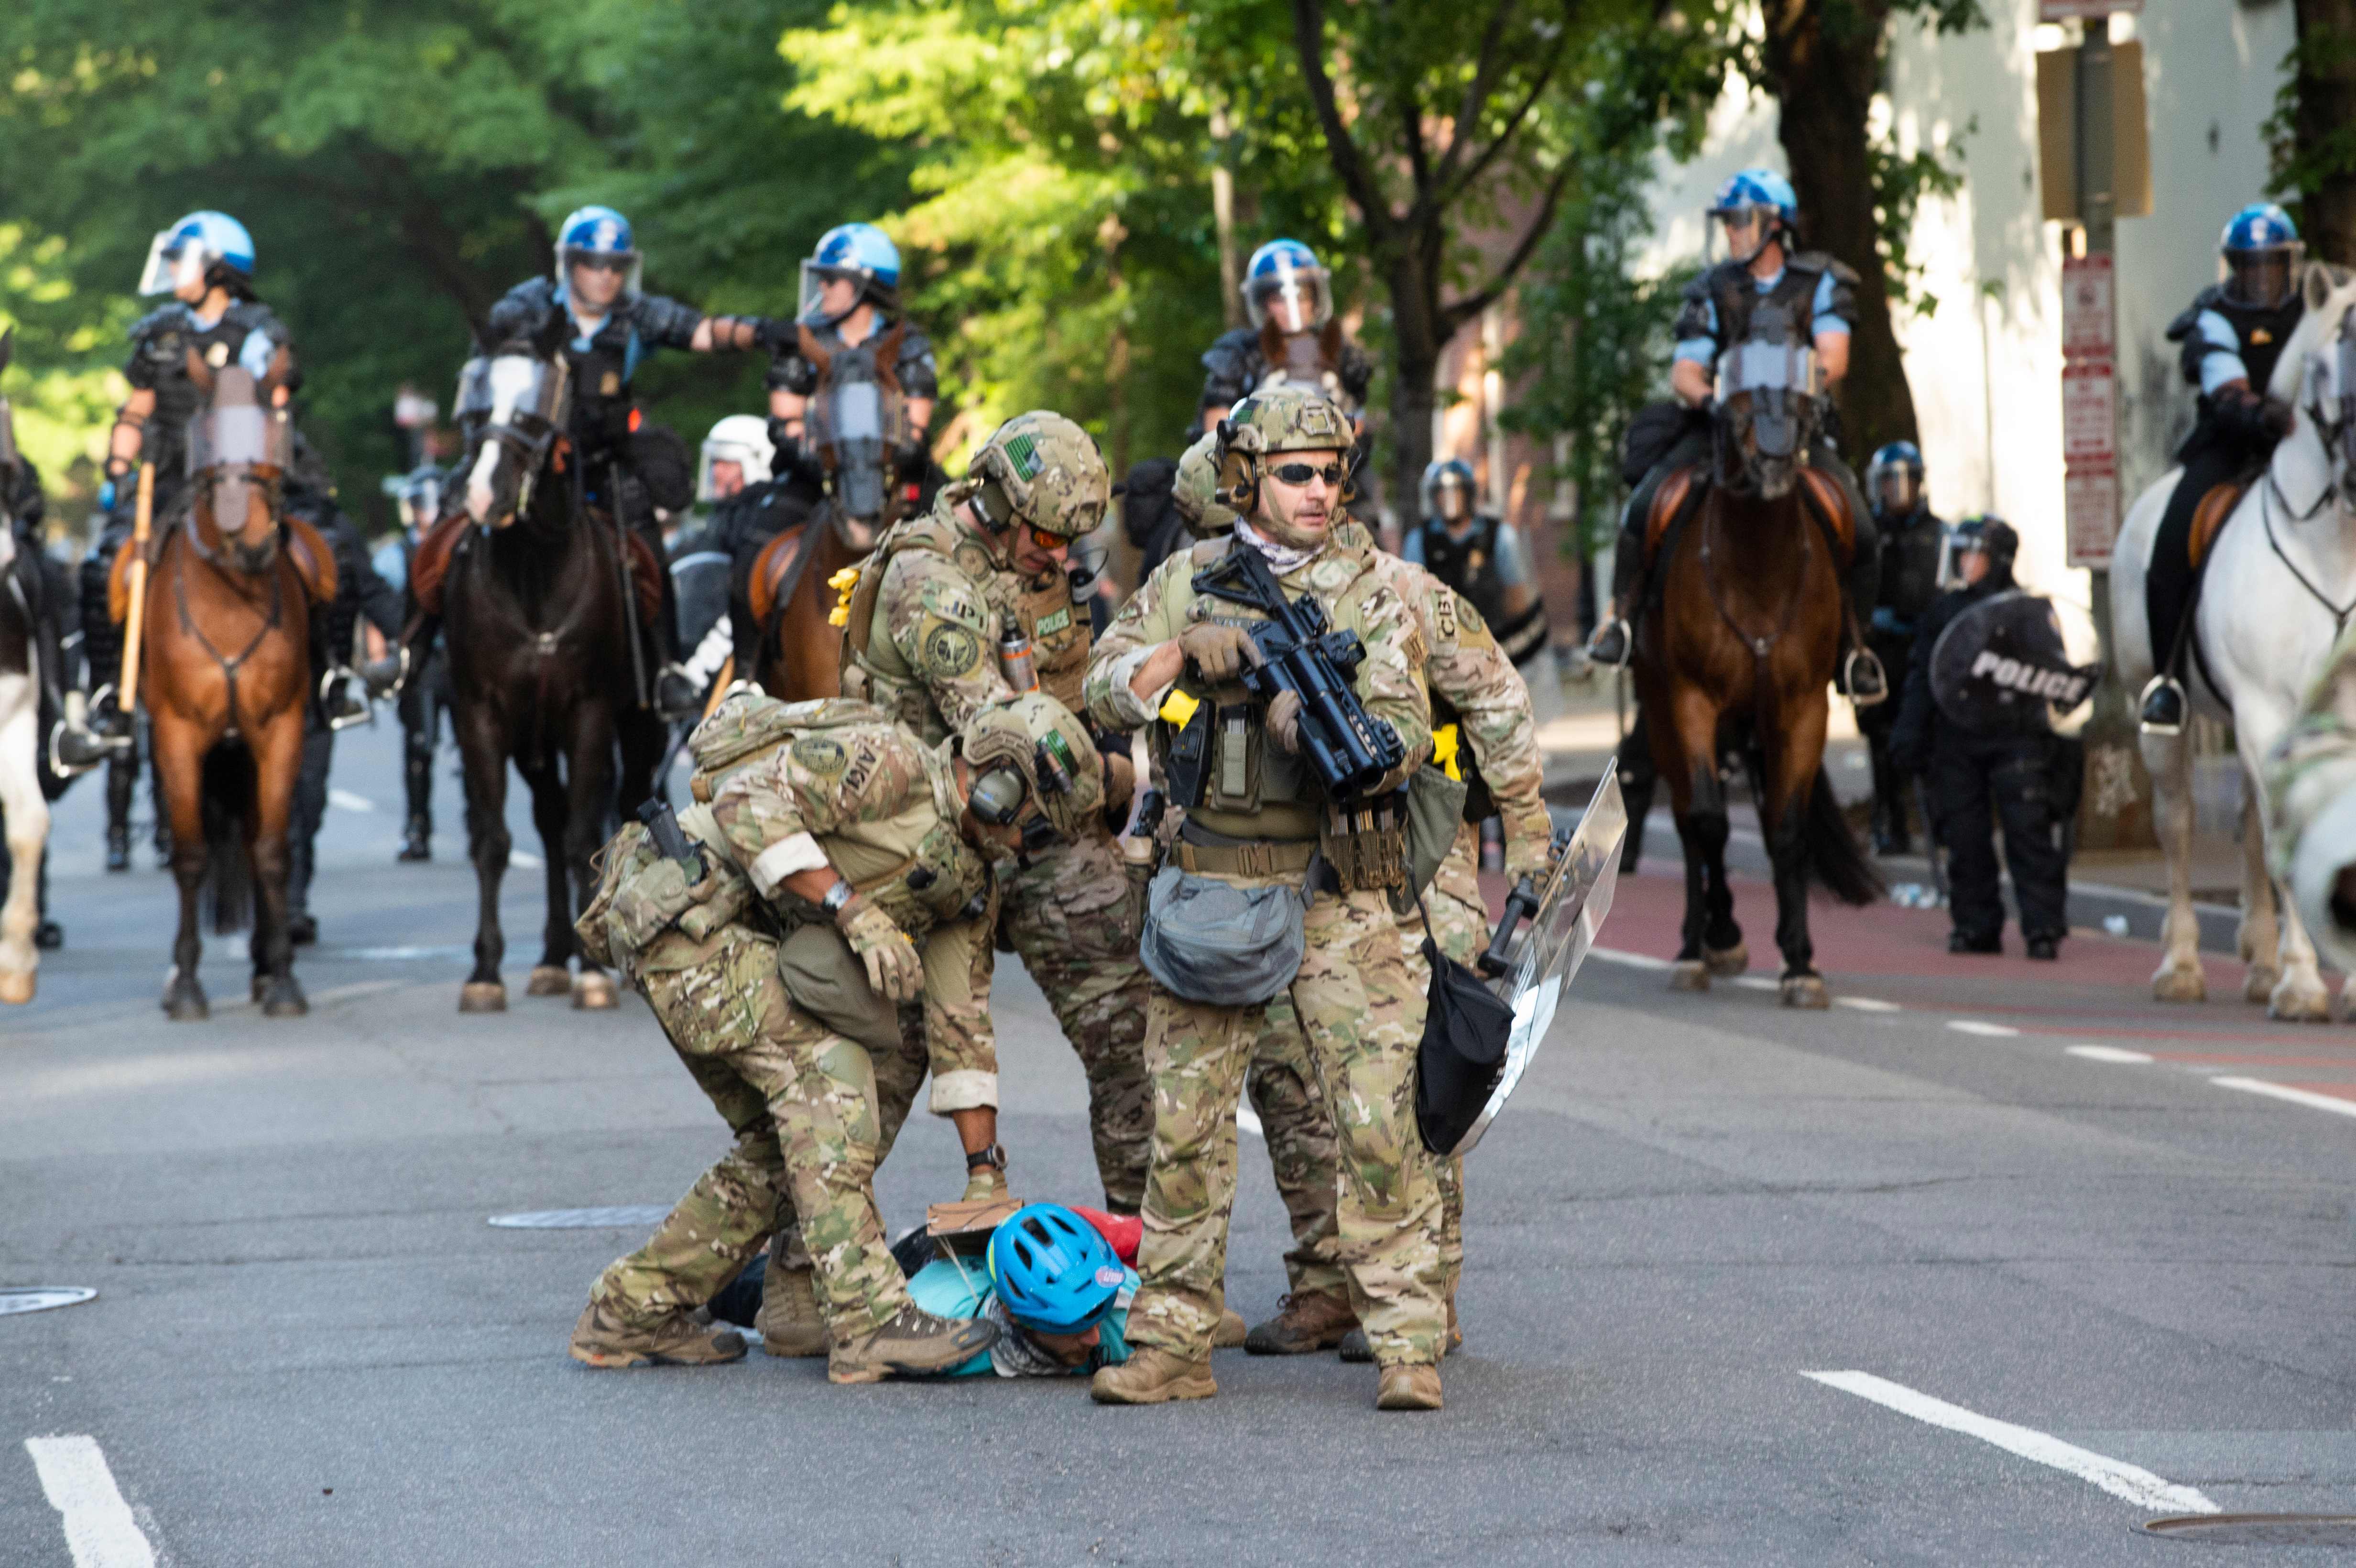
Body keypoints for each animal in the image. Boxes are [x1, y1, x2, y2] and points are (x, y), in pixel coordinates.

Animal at [126, 348, 329, 1022]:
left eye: (274, 434)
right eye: (209, 438)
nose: (254, 539)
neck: (230, 599)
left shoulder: (280, 731)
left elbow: (271, 850)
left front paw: (283, 978)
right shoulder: (177, 736)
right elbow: (190, 855)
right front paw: (187, 983)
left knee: (249, 838)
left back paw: (265, 966)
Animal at [438, 317, 664, 1012]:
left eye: (536, 412)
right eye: (476, 407)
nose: (482, 494)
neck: (534, 575)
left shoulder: (586, 713)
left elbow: (581, 837)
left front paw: (592, 974)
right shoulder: (481, 716)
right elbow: (493, 842)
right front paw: (485, 971)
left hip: (639, 727)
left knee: (620, 803)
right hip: (531, 744)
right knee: (544, 818)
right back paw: (549, 957)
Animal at [1630, 346, 1885, 1003]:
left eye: (1802, 377)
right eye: (1734, 386)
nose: (1772, 459)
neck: (1756, 568)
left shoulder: (1801, 707)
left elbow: (1787, 829)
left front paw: (1800, 961)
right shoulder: (1692, 700)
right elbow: (1709, 821)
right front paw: (1720, 937)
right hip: (1663, 712)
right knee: (1688, 822)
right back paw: (1698, 943)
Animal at [2111, 259, 2356, 1012]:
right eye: (2324, 365)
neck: (2334, 550)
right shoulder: (2264, 711)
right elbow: (2282, 832)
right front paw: (2304, 981)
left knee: (2247, 824)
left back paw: (2258, 960)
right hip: (2158, 715)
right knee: (2181, 824)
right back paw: (2184, 964)